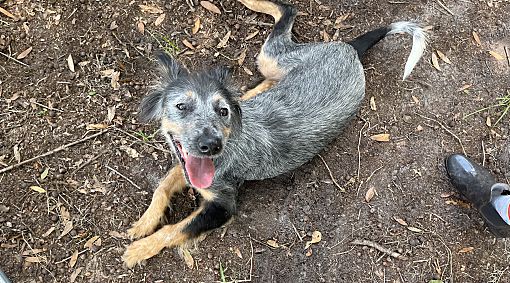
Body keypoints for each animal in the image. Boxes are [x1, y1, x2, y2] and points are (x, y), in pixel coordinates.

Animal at [122, 0, 426, 268]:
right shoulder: (187, 163)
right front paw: (143, 224)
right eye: (181, 107)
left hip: (272, 58)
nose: (211, 145)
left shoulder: (222, 206)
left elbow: (176, 229)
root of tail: (349, 49)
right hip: (274, 65)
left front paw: (138, 250)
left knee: (288, 10)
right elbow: (163, 186)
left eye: (223, 111)